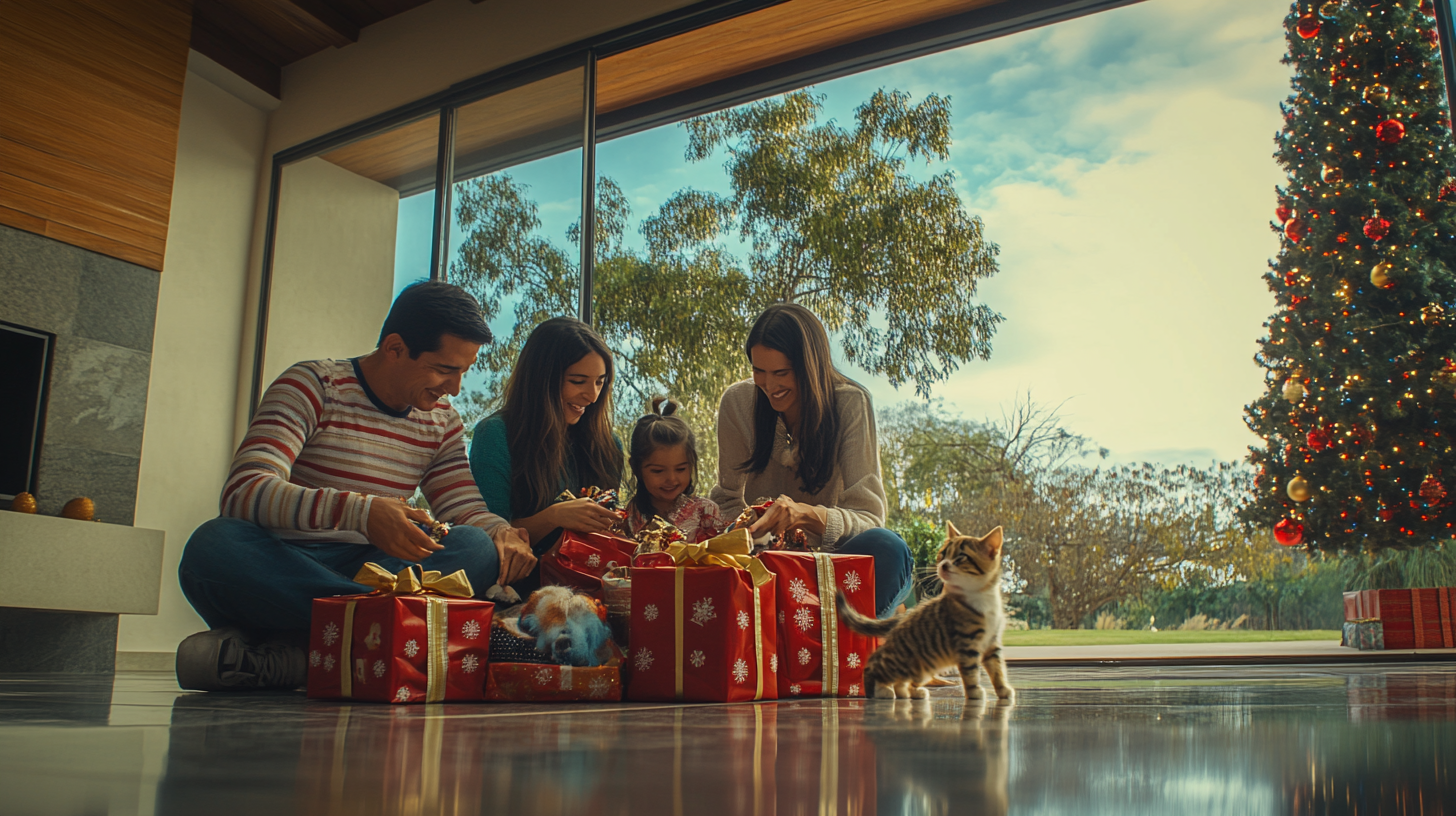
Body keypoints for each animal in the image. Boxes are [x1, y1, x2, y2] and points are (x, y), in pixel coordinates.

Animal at [844, 521, 1013, 702]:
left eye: (961, 558)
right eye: (943, 554)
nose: (943, 565)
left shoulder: (991, 643)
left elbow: (997, 670)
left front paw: (1003, 690)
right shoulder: (966, 644)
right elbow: (971, 673)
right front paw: (974, 692)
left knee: (903, 679)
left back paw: (909, 692)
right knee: (877, 665)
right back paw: (880, 691)